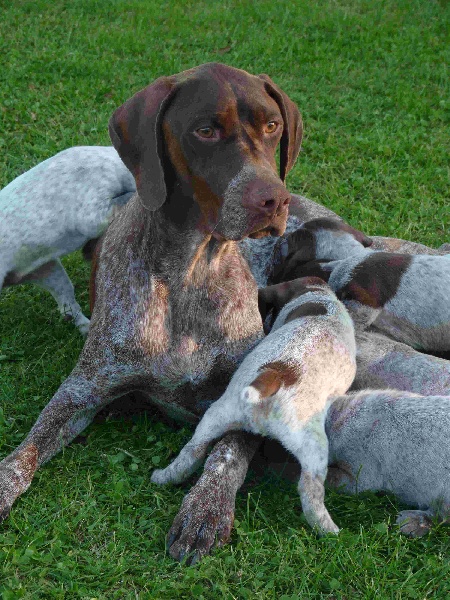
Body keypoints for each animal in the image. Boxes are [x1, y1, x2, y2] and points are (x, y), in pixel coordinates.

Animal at [151, 278, 356, 536]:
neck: (317, 296)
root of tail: (273, 376)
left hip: (217, 414)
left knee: (191, 453)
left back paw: (162, 477)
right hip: (313, 445)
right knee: (310, 492)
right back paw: (329, 530)